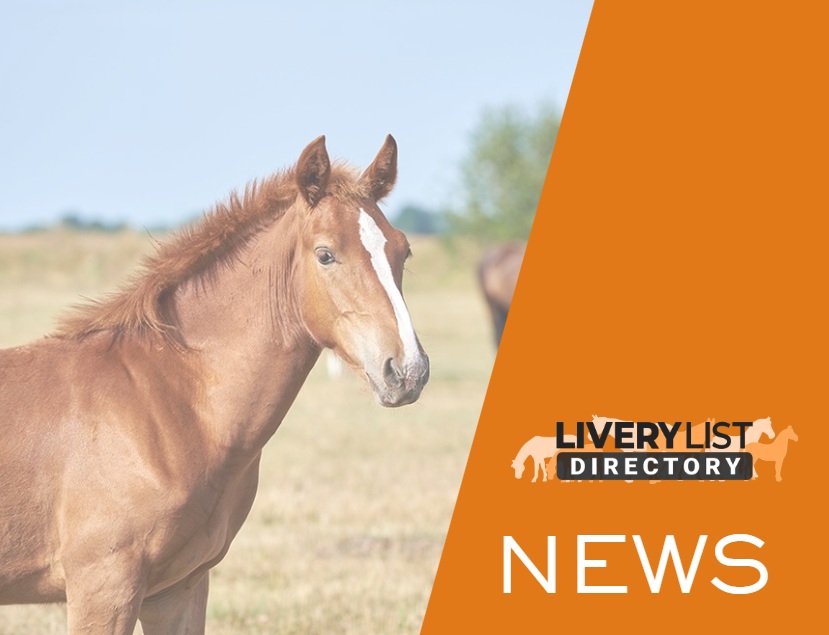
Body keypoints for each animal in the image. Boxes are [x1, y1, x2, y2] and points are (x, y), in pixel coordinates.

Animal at [0, 135, 430, 634]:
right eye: (325, 253)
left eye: (403, 251)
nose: (409, 370)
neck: (168, 401)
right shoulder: (102, 586)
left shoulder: (177, 588)